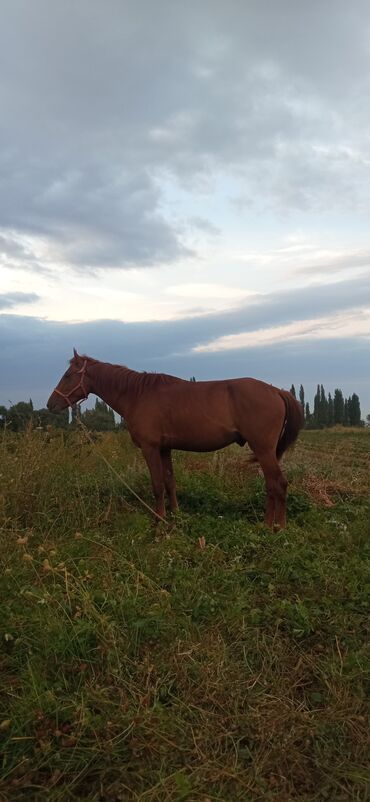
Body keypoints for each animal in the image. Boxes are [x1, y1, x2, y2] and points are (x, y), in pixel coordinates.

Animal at [47, 348, 304, 524]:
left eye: (68, 375)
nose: (51, 404)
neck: (138, 395)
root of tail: (276, 390)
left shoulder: (150, 448)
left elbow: (157, 484)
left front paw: (159, 519)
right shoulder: (164, 448)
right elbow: (170, 481)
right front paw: (175, 513)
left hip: (263, 449)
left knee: (278, 484)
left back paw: (277, 527)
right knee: (271, 484)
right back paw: (267, 522)